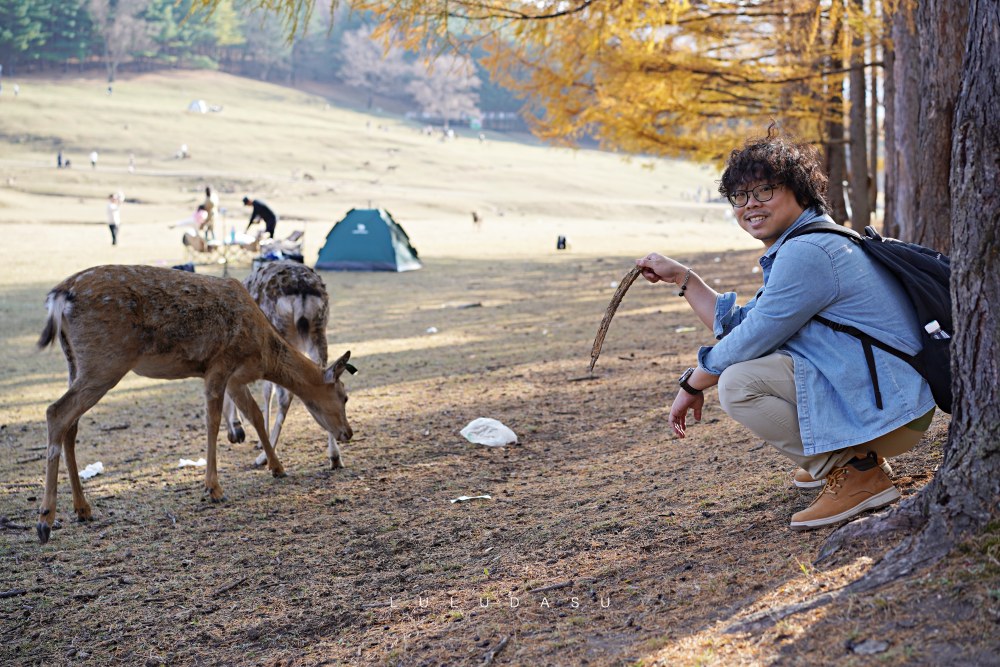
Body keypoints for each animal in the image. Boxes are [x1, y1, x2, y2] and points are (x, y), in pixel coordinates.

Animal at [225, 260, 354, 470]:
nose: (234, 436)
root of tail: (302, 290)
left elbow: (267, 390)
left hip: (281, 329)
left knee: (285, 395)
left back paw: (264, 458)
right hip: (319, 331)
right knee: (323, 376)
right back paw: (335, 457)